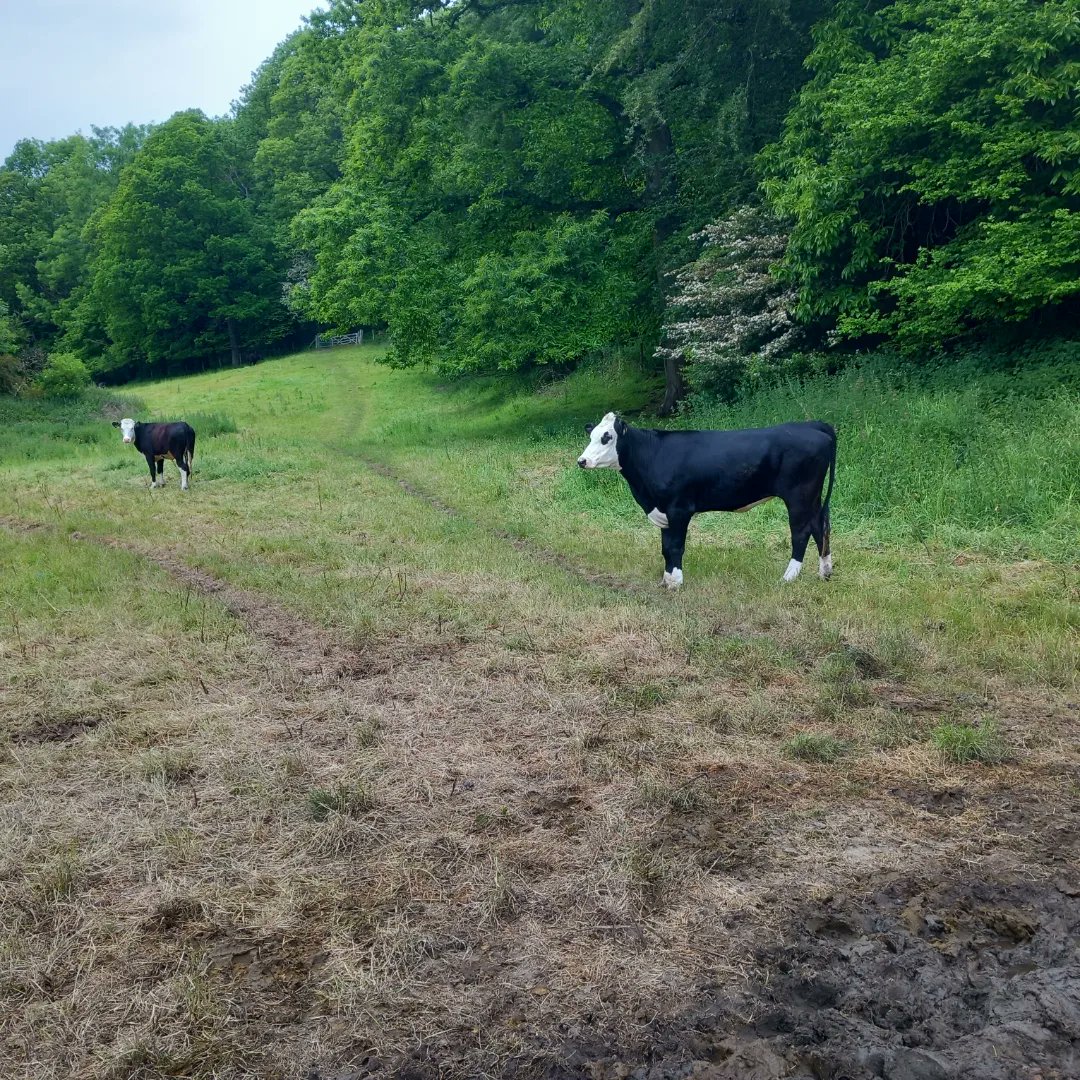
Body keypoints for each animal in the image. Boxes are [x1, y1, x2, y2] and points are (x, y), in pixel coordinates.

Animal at [577, 413, 836, 588]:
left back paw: (789, 577)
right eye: (590, 436)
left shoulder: (679, 508)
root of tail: (813, 424)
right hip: (813, 497)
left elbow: (675, 546)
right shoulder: (664, 510)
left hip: (799, 496)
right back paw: (825, 573)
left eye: (607, 437)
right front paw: (667, 579)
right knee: (820, 526)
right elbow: (665, 547)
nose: (582, 461)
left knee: (801, 533)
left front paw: (676, 582)